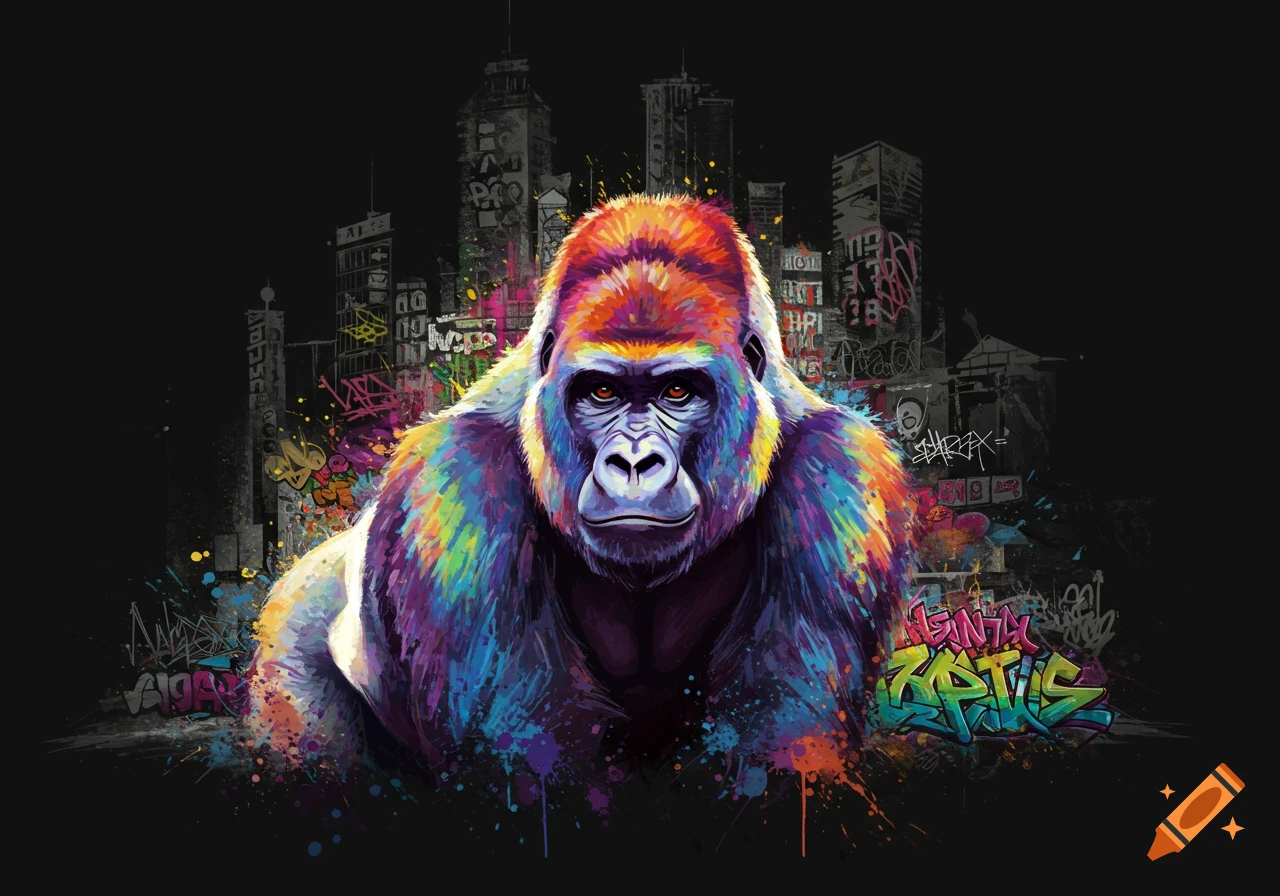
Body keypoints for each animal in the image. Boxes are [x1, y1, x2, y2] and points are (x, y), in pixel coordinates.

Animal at [244, 193, 918, 784]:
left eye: (678, 391)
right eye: (601, 392)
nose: (635, 463)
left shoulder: (839, 478)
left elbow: (782, 747)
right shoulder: (454, 483)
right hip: (288, 631)